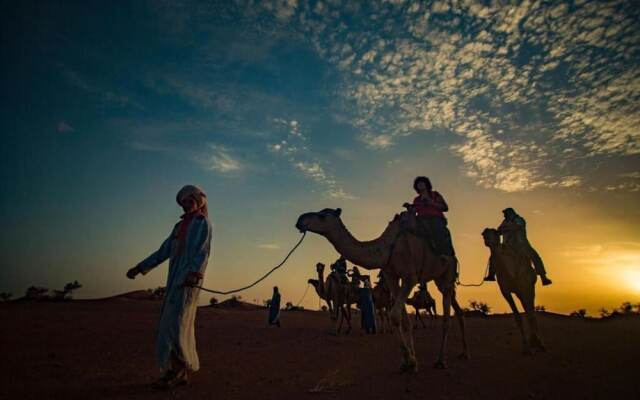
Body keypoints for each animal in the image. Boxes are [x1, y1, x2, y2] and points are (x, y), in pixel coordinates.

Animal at [296, 208, 470, 374]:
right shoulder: (391, 276)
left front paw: (410, 361)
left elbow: (394, 316)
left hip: (447, 273)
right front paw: (409, 362)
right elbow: (404, 320)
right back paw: (464, 353)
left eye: (322, 216)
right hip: (441, 280)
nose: (300, 220)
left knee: (446, 317)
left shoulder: (410, 277)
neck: (388, 248)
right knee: (458, 310)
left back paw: (441, 361)